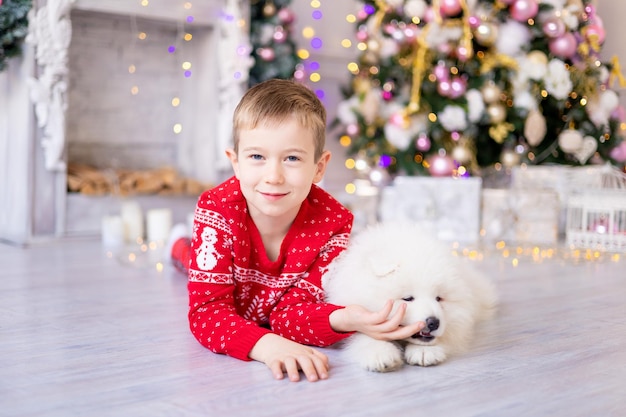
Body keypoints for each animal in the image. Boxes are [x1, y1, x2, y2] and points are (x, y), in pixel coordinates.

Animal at [324, 223, 494, 372]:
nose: (433, 322)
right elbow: (363, 333)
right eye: (407, 298)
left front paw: (425, 351)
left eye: (438, 298)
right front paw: (381, 354)